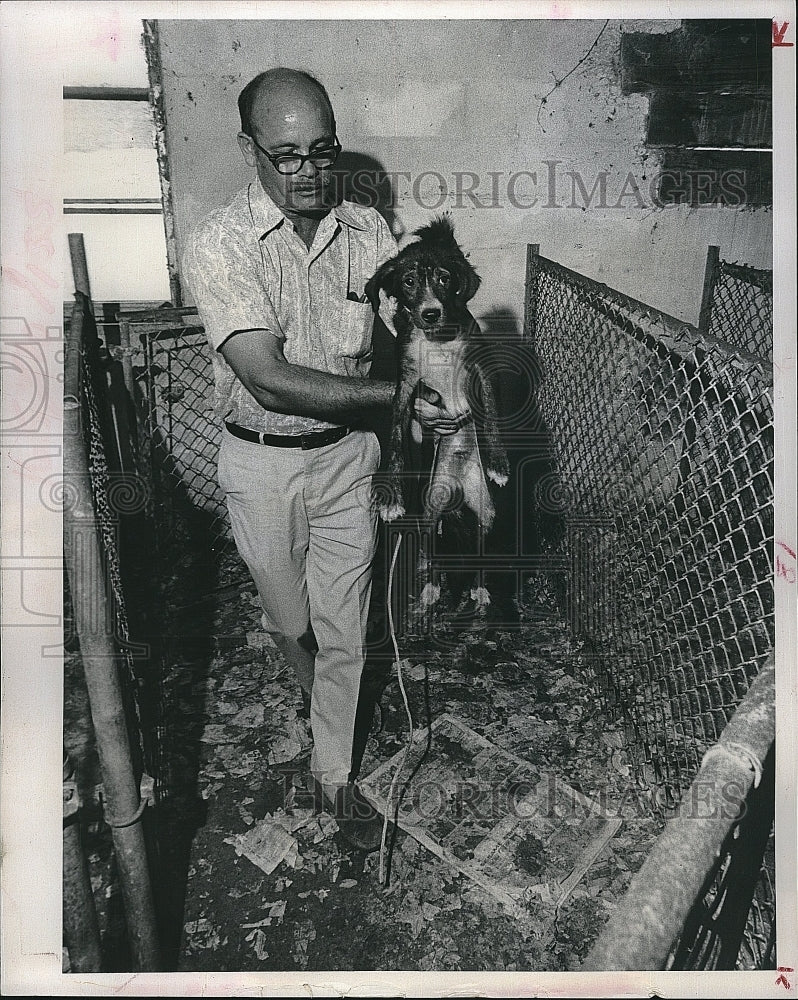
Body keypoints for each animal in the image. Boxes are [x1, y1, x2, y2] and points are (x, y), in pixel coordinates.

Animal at [366, 216, 510, 608]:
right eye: (408, 281)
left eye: (444, 278)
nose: (430, 312)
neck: (437, 338)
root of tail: (457, 487)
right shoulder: (407, 386)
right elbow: (396, 438)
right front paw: (390, 498)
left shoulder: (480, 369)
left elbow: (491, 415)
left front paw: (498, 463)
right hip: (430, 511)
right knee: (429, 550)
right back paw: (430, 588)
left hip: (487, 515)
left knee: (481, 552)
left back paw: (479, 588)